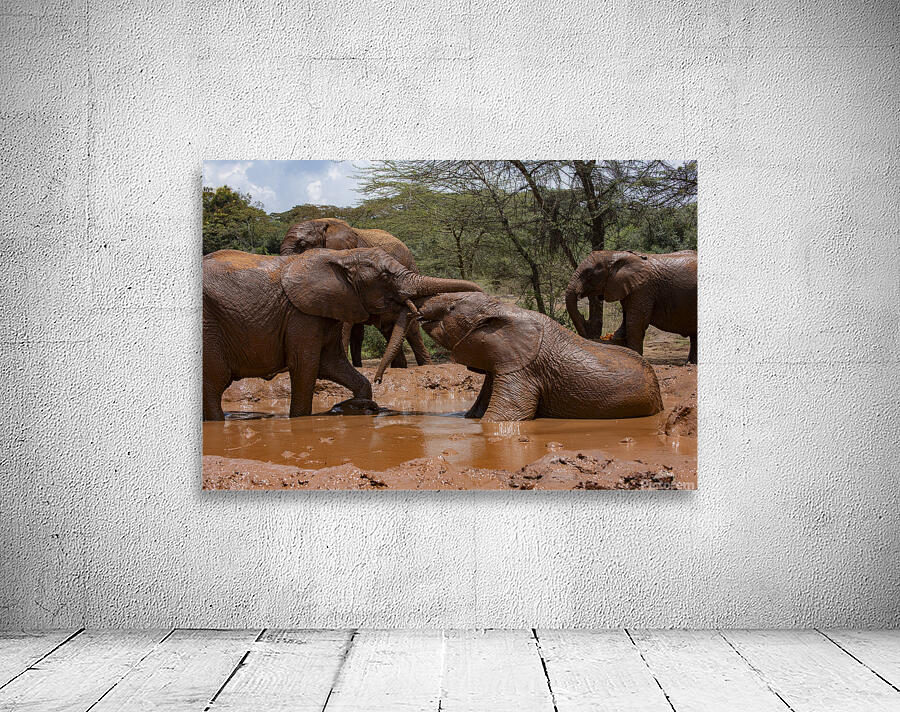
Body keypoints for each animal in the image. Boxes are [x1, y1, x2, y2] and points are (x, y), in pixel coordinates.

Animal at [202, 247, 479, 420]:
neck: (342, 257)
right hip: (210, 326)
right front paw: (300, 420)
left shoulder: (330, 309)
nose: (380, 379)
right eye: (385, 276)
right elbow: (305, 367)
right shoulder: (301, 314)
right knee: (215, 383)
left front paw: (360, 406)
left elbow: (332, 363)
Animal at [280, 218, 431, 369]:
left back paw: (425, 365)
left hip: (409, 269)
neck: (320, 222)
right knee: (387, 329)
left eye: (302, 245)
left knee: (412, 330)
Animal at [566, 249, 698, 363]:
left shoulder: (643, 289)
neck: (616, 255)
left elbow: (634, 322)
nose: (588, 335)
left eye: (589, 274)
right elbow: (625, 323)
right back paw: (690, 363)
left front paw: (636, 356)